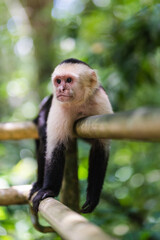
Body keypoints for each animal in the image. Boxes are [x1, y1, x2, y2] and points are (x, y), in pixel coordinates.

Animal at [30, 58, 112, 214]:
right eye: (58, 81)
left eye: (68, 80)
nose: (61, 89)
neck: (79, 103)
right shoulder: (58, 106)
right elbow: (54, 148)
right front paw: (48, 190)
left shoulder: (101, 101)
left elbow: (100, 147)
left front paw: (92, 197)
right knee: (44, 138)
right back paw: (39, 183)